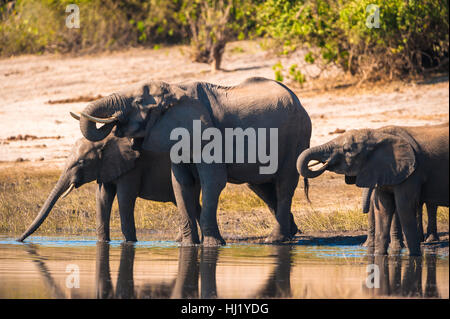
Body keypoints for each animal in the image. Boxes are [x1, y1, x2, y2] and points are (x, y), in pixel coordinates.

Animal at [74, 77, 312, 248]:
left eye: (138, 103)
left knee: (284, 184)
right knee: (261, 187)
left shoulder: (208, 135)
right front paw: (189, 246)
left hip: (297, 136)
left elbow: (212, 182)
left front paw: (212, 246)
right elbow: (181, 184)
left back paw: (275, 240)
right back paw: (291, 232)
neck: (176, 89)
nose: (114, 121)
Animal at [298, 124, 448, 256]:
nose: (324, 163)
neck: (379, 135)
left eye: (347, 149)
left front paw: (414, 256)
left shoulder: (412, 173)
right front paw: (379, 255)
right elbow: (383, 208)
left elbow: (404, 207)